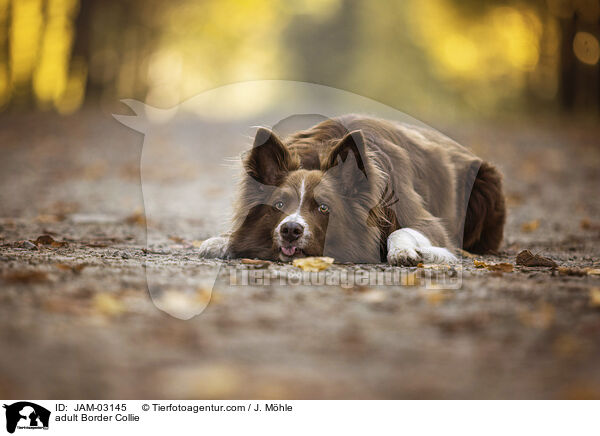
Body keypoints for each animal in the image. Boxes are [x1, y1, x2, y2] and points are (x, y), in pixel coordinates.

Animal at [200, 115, 506, 266]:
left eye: (324, 208)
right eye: (279, 206)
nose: (290, 230)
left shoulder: (429, 224)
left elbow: (401, 231)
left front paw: (403, 252)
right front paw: (222, 241)